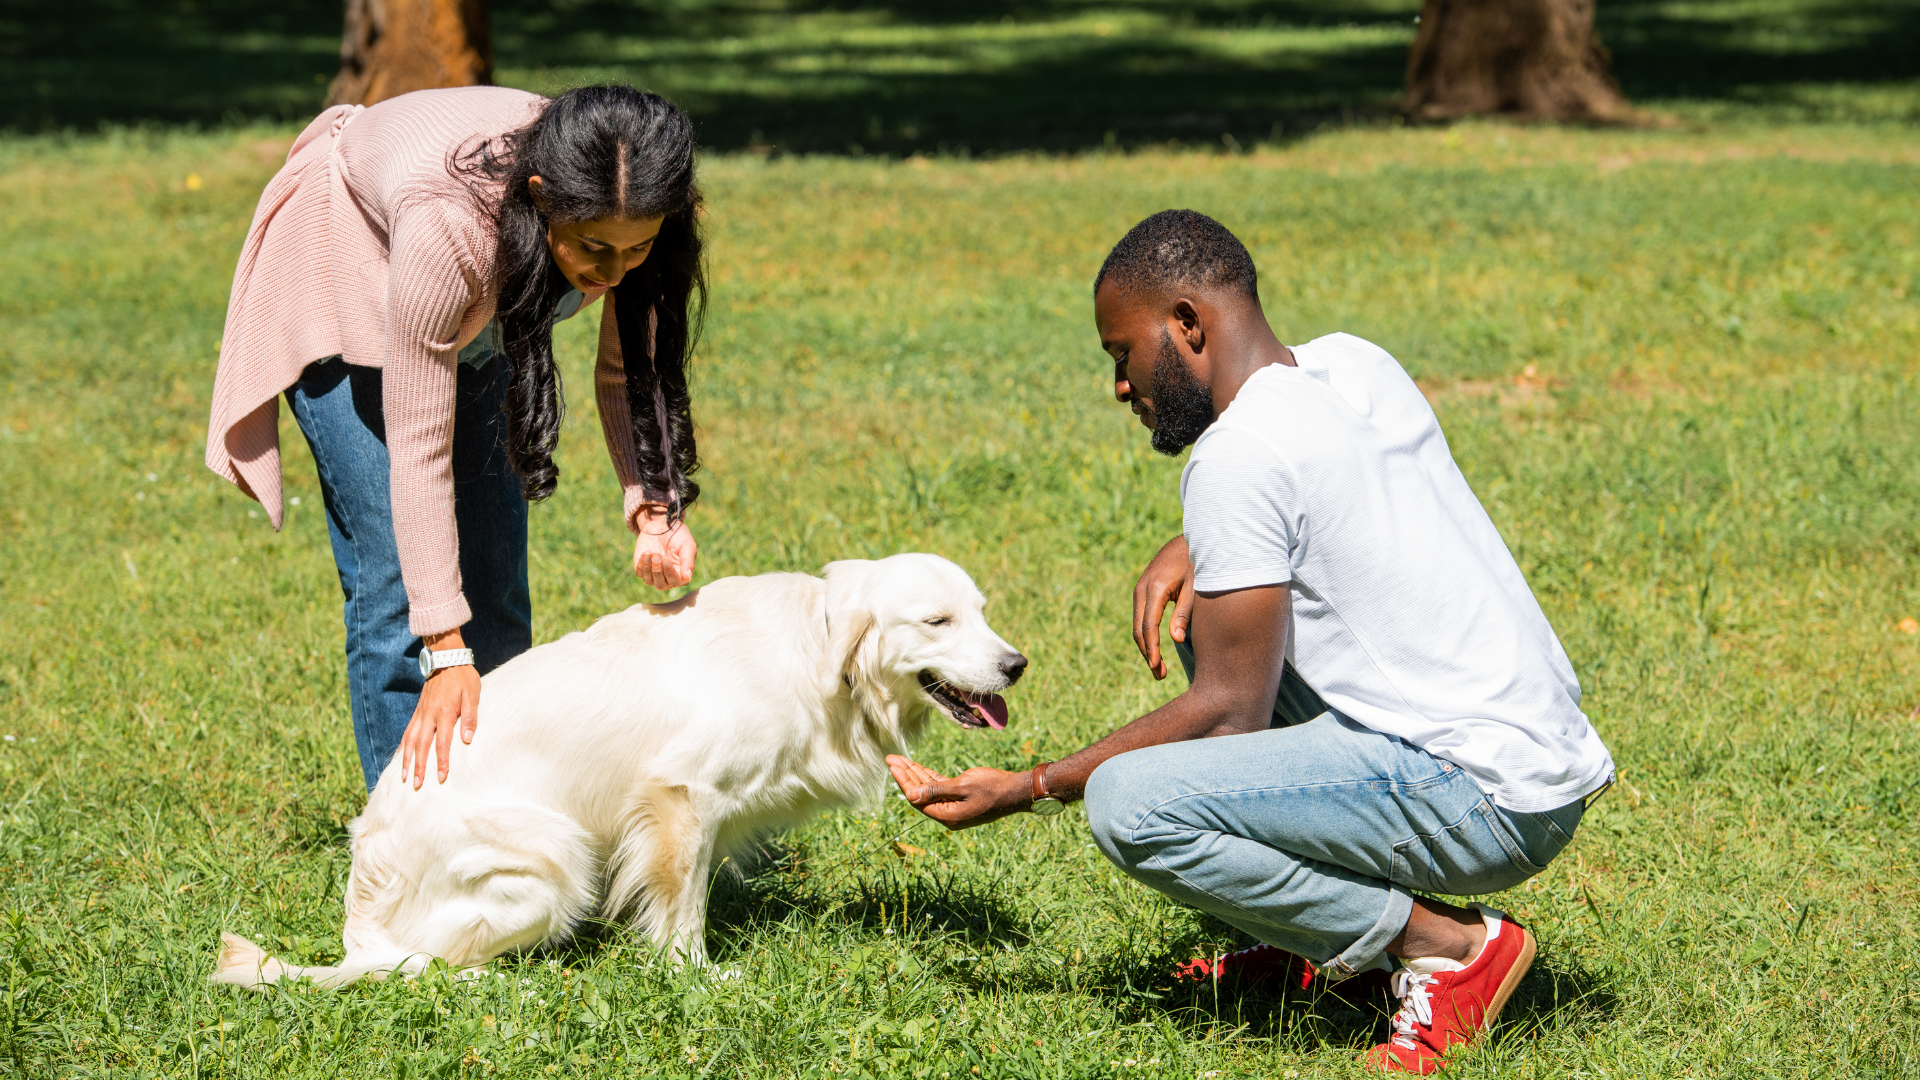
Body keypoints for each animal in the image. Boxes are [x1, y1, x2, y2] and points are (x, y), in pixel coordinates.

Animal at [212, 553, 1029, 983]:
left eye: (984, 611)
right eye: (937, 621)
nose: (1017, 664)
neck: (819, 650)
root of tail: (359, 923)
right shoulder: (680, 798)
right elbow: (683, 908)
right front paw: (696, 978)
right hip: (557, 856)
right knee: (433, 963)